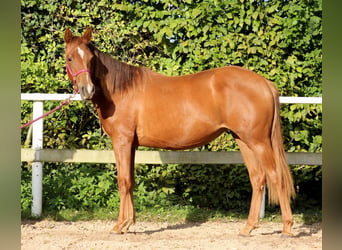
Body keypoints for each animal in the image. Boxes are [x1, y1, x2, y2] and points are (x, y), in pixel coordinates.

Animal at [65, 27, 296, 236]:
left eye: (91, 59)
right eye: (69, 58)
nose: (87, 90)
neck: (121, 90)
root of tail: (265, 83)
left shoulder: (122, 141)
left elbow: (123, 181)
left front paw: (119, 225)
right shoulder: (131, 144)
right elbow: (130, 181)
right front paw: (129, 223)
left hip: (259, 142)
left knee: (275, 176)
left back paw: (286, 228)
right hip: (244, 140)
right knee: (257, 178)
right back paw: (248, 228)